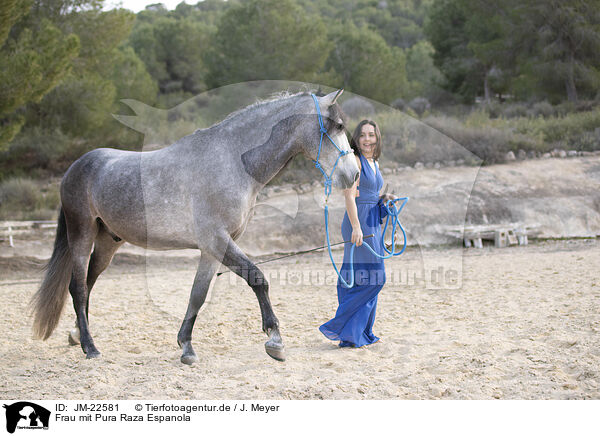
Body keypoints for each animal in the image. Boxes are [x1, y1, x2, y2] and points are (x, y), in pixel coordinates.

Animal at [30, 88, 358, 364]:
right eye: (339, 126)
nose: (353, 175)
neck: (233, 163)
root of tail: (75, 167)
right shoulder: (217, 240)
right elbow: (257, 278)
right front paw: (274, 340)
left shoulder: (212, 249)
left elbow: (197, 294)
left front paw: (185, 346)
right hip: (82, 234)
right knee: (78, 288)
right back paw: (90, 347)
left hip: (108, 241)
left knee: (88, 284)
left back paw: (76, 335)